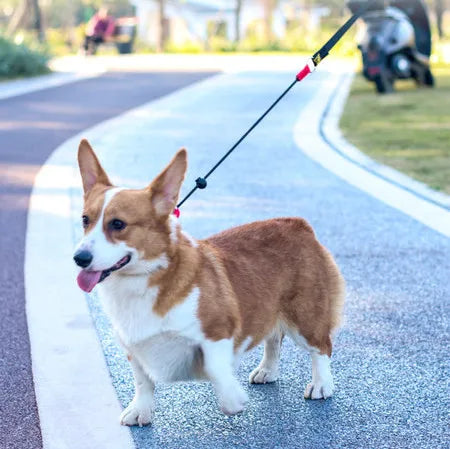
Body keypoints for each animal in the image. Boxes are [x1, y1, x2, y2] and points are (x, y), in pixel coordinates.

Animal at [73, 138, 344, 426]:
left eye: (118, 224)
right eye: (85, 220)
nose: (79, 258)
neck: (142, 281)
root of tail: (298, 224)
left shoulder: (218, 329)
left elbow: (215, 368)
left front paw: (233, 400)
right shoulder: (132, 345)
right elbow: (142, 380)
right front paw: (140, 411)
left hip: (305, 317)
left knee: (321, 347)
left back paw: (321, 385)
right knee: (273, 337)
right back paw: (266, 371)